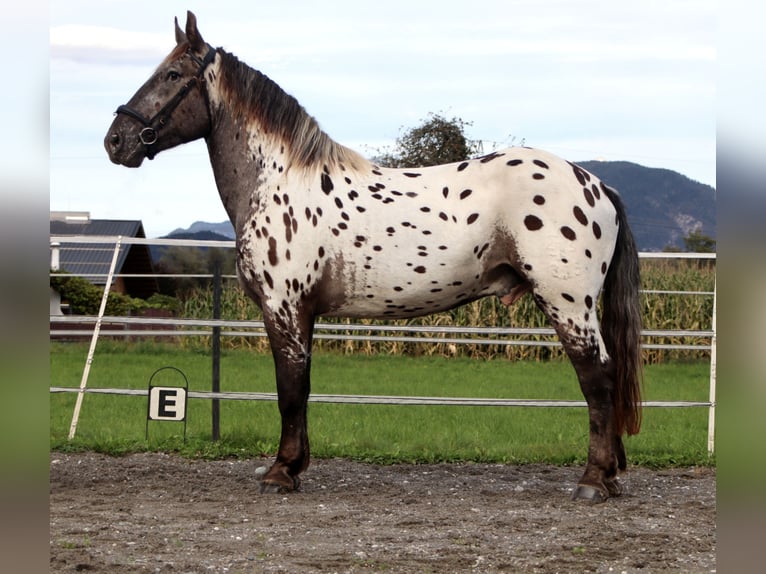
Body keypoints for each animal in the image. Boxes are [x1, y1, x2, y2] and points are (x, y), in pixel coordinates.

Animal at [106, 10, 640, 504]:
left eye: (172, 74)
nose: (115, 140)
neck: (279, 181)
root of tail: (595, 185)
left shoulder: (284, 308)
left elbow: (288, 389)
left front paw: (280, 472)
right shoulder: (303, 314)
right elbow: (301, 388)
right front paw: (295, 465)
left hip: (567, 304)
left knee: (598, 377)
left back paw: (594, 481)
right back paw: (610, 476)